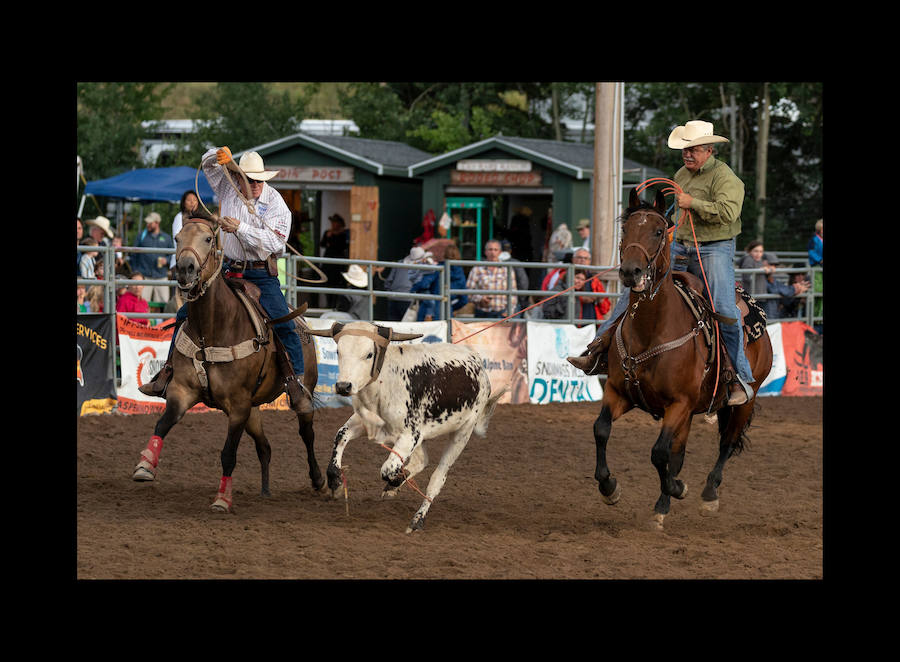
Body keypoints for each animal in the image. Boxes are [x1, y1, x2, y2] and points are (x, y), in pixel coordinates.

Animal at [128, 213, 322, 512]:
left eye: (208, 239)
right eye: (177, 238)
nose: (184, 269)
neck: (213, 328)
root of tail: (302, 323)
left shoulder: (238, 405)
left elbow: (228, 453)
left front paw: (222, 499)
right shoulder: (183, 391)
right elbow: (163, 423)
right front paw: (145, 465)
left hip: (301, 392)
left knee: (307, 433)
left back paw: (322, 480)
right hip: (253, 410)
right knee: (265, 447)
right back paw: (265, 490)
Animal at [592, 189, 772, 532]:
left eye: (658, 231)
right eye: (625, 230)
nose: (630, 272)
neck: (651, 329)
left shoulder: (679, 404)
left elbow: (659, 453)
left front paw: (677, 489)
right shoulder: (619, 392)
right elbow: (602, 430)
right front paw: (609, 488)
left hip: (746, 400)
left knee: (726, 443)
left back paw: (708, 493)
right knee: (680, 452)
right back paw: (665, 502)